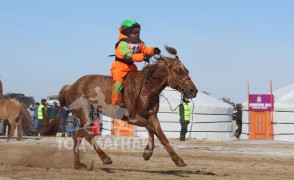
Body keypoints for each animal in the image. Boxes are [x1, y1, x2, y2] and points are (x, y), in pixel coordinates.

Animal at [58, 46, 199, 169]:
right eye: (178, 72)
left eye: (187, 71)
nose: (193, 91)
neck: (147, 87)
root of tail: (71, 87)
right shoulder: (133, 118)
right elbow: (154, 129)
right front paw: (148, 152)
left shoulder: (152, 116)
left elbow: (161, 135)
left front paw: (177, 159)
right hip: (86, 114)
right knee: (86, 135)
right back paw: (105, 158)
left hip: (93, 116)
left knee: (78, 135)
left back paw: (78, 164)